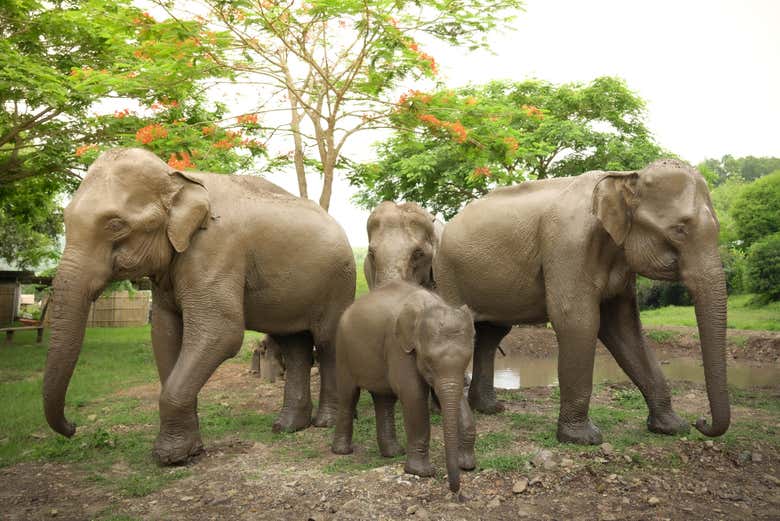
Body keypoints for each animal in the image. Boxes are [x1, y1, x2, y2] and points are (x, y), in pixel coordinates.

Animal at [44, 146, 354, 464]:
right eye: (65, 220)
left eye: (116, 225)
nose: (73, 426)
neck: (179, 179)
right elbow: (164, 334)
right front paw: (190, 451)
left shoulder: (216, 251)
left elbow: (221, 331)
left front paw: (169, 457)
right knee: (294, 345)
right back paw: (288, 426)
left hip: (339, 281)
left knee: (327, 343)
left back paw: (324, 422)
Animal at [330, 280, 476, 492]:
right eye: (428, 362)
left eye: (467, 361)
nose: (455, 489)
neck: (429, 304)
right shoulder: (398, 345)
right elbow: (413, 394)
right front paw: (421, 472)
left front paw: (468, 465)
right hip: (342, 351)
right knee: (349, 397)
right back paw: (342, 451)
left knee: (384, 400)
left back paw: (393, 453)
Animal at [436, 157, 728, 442]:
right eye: (679, 230)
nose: (701, 422)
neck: (626, 177)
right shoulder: (568, 244)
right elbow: (577, 320)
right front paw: (582, 438)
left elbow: (623, 327)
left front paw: (672, 427)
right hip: (447, 275)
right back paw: (444, 411)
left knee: (491, 334)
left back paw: (490, 409)